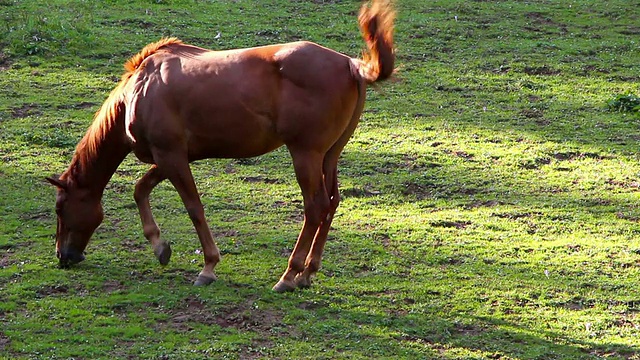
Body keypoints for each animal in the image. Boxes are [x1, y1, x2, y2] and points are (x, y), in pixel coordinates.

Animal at [46, 0, 396, 292]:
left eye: (60, 208)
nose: (63, 256)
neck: (140, 90)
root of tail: (351, 65)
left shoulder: (171, 155)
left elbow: (193, 208)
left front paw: (208, 267)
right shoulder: (173, 156)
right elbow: (140, 189)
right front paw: (160, 247)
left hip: (305, 155)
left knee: (316, 207)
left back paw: (289, 275)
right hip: (328, 156)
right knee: (332, 203)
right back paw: (307, 272)